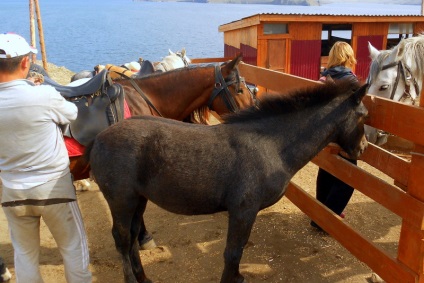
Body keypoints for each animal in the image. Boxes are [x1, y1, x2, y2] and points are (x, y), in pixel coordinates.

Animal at [85, 80, 368, 283]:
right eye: (363, 115)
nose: (363, 148)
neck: (270, 145)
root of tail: (99, 138)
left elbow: (237, 251)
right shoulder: (243, 210)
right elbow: (232, 253)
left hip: (138, 199)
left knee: (133, 235)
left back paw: (144, 277)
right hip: (121, 200)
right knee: (122, 238)